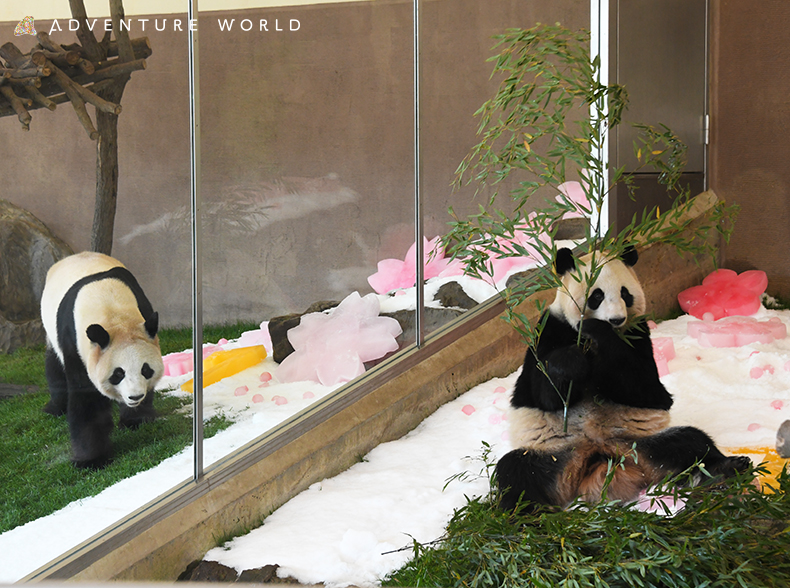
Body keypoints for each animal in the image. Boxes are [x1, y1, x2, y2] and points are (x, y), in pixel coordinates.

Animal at [41, 252, 165, 468]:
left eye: (146, 369)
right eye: (118, 373)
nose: (135, 397)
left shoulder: (143, 310)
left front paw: (136, 420)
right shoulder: (73, 341)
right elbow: (86, 399)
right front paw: (91, 460)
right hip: (51, 333)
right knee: (54, 367)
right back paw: (55, 408)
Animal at [498, 247, 752, 510]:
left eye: (625, 293)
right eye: (596, 295)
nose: (616, 319)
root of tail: (601, 460)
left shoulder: (638, 334)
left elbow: (645, 388)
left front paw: (599, 333)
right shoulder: (549, 329)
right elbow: (545, 393)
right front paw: (572, 361)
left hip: (643, 444)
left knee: (690, 442)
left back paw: (726, 470)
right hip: (555, 454)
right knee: (517, 472)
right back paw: (524, 512)